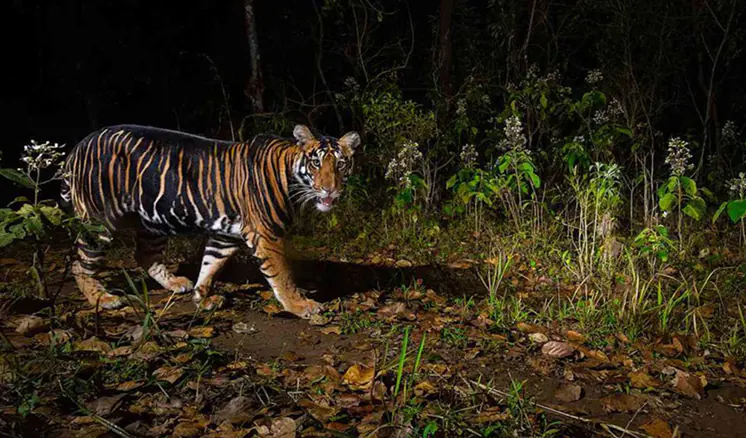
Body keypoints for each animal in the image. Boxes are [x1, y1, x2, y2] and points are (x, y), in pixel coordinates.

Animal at [60, 124, 360, 319]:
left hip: (152, 220)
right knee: (79, 262)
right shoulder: (266, 233)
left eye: (341, 164)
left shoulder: (225, 235)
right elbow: (282, 275)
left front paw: (201, 298)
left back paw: (175, 283)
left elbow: (210, 265)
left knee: (145, 255)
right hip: (99, 221)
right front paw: (301, 306)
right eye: (315, 163)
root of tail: (78, 146)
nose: (330, 190)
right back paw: (104, 299)